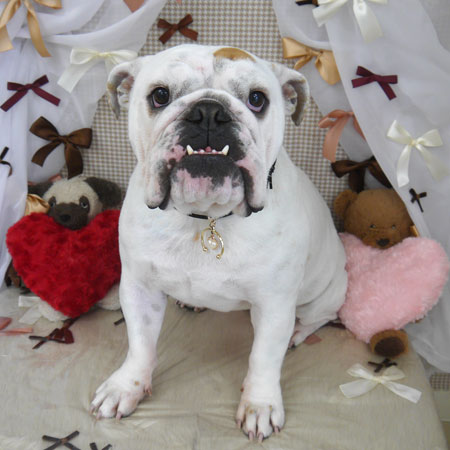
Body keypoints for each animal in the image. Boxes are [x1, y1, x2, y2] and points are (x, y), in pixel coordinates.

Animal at [90, 44, 348, 441]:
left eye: (257, 99)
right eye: (160, 95)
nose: (209, 112)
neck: (206, 217)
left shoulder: (274, 305)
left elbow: (263, 358)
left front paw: (260, 405)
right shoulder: (139, 288)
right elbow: (140, 345)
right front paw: (125, 387)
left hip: (325, 293)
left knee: (319, 317)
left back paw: (299, 331)